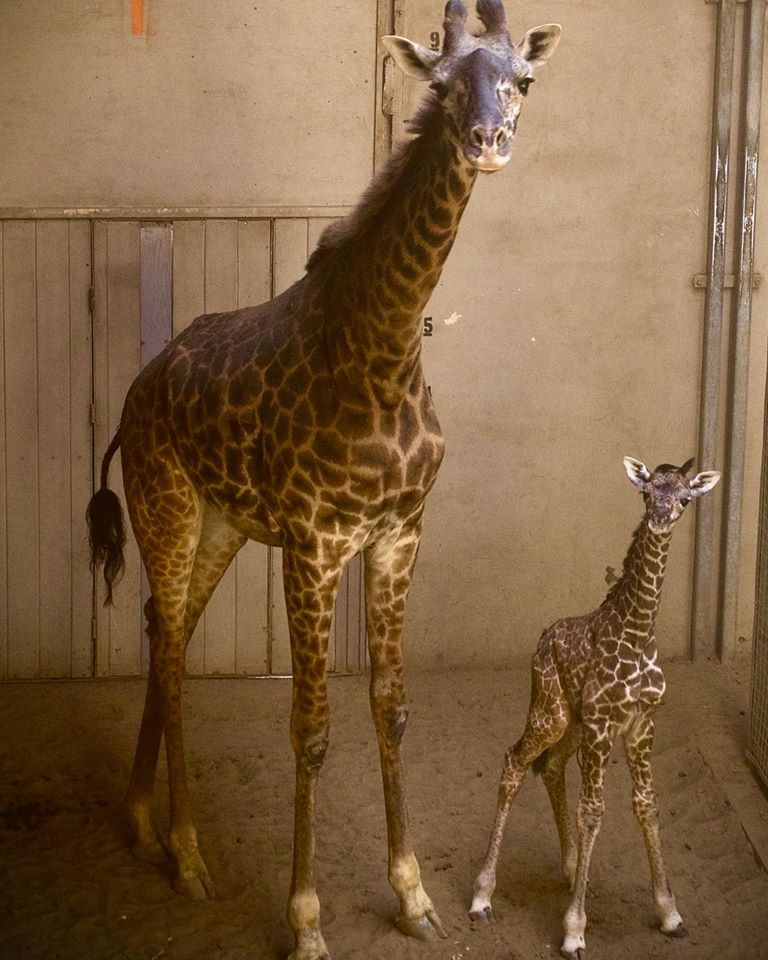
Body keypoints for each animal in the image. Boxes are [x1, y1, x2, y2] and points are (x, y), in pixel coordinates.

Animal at [87, 3, 560, 956]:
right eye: (441, 84)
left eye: (523, 79)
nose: (489, 142)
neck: (382, 355)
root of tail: (132, 400)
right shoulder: (312, 545)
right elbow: (310, 727)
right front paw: (305, 920)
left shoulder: (399, 534)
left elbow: (390, 707)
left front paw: (413, 895)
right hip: (167, 507)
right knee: (172, 646)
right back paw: (187, 854)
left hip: (221, 526)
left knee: (166, 630)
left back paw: (145, 822)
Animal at [468, 456, 720, 960]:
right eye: (646, 493)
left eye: (685, 498)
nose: (659, 520)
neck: (638, 635)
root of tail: (543, 637)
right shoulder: (605, 726)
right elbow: (593, 811)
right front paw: (574, 929)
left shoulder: (641, 724)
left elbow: (646, 805)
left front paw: (670, 913)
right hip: (552, 713)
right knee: (514, 762)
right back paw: (483, 896)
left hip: (573, 726)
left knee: (549, 768)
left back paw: (570, 870)